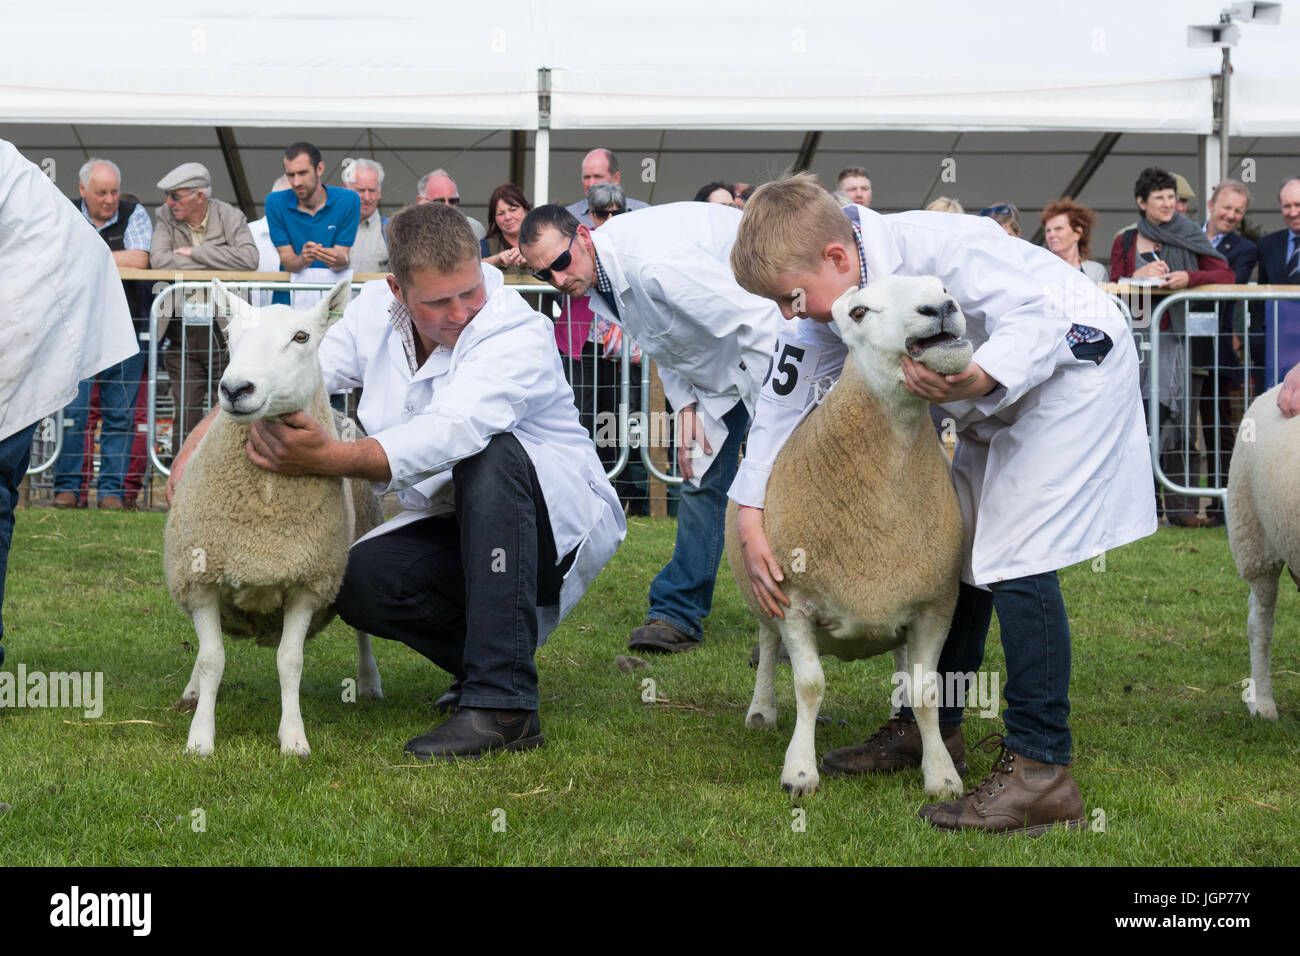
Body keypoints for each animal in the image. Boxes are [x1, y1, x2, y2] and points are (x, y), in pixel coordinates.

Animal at [165, 280, 382, 759]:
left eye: (301, 337)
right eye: (229, 336)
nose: (234, 388)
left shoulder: (308, 582)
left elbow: (290, 661)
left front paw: (294, 738)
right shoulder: (201, 579)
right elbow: (211, 660)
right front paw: (200, 738)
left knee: (363, 632)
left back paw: (369, 682)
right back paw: (191, 692)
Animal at [728, 274, 972, 801]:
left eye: (943, 285)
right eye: (858, 312)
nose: (941, 307)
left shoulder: (934, 605)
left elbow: (927, 692)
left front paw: (941, 775)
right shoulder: (793, 603)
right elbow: (810, 685)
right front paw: (800, 772)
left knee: (900, 663)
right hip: (761, 593)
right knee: (767, 644)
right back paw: (761, 711)